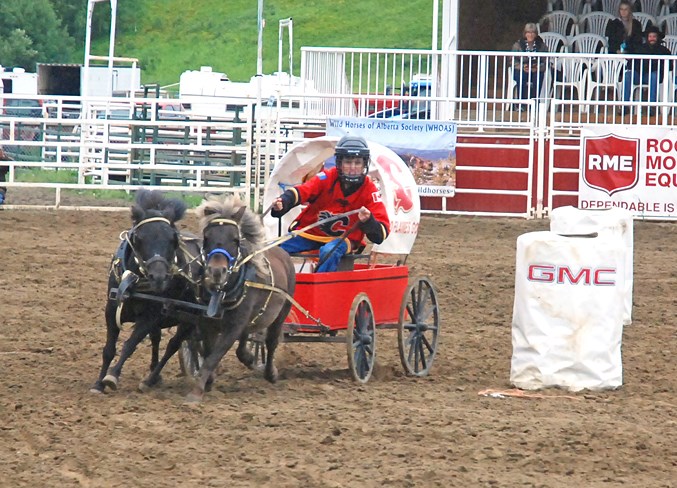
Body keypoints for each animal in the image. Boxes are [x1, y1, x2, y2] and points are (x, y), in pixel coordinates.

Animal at [90, 190, 201, 392]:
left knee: (173, 346)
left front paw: (112, 376)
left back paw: (151, 379)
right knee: (166, 340)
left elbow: (130, 345)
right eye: (140, 238)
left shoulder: (150, 317)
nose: (158, 277)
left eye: (172, 239)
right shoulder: (111, 310)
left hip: (191, 318)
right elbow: (109, 349)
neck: (134, 281)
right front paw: (98, 383)